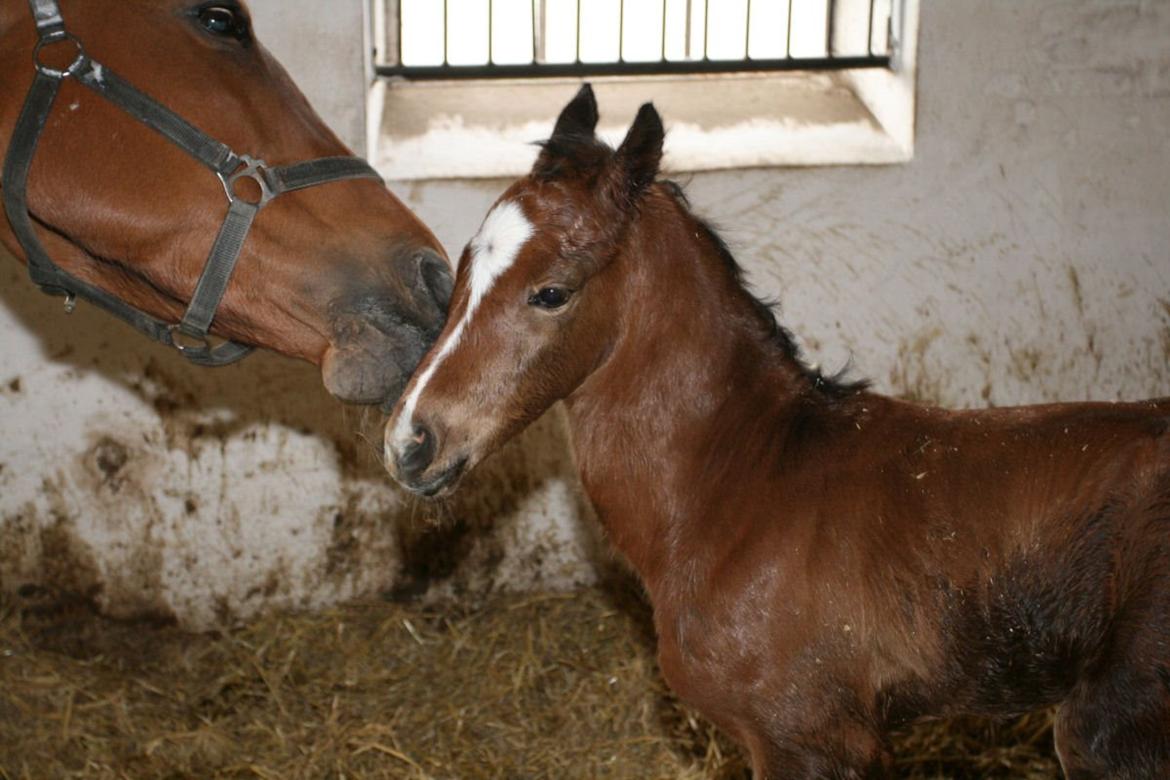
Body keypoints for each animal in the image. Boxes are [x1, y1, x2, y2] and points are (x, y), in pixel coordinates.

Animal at [388, 82, 1170, 776]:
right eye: (460, 271)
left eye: (551, 292)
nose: (409, 443)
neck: (747, 486)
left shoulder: (811, 740)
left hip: (1111, 730)